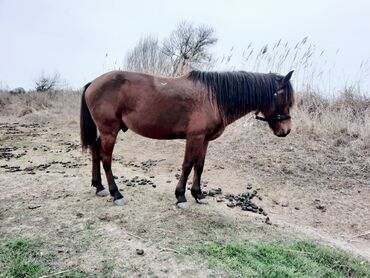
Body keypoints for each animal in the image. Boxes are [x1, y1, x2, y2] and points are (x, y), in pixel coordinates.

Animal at [80, 69, 294, 208]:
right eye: (284, 97)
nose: (286, 130)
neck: (213, 97)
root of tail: (93, 83)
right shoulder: (194, 137)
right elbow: (188, 165)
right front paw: (181, 197)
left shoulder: (204, 140)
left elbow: (199, 165)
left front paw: (198, 194)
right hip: (109, 131)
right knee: (106, 158)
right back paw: (116, 193)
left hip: (105, 132)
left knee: (95, 151)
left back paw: (98, 186)